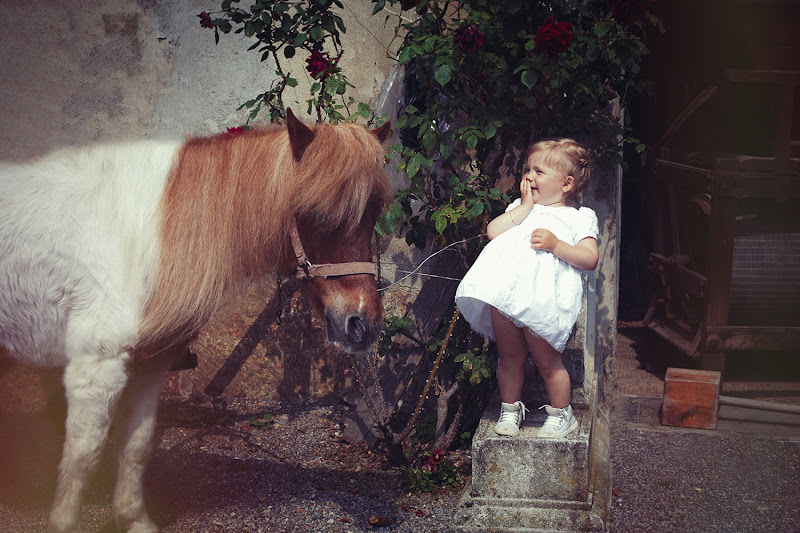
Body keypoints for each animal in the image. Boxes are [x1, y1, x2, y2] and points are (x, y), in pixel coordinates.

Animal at [0, 109, 394, 532]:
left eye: (374, 214)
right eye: (315, 214)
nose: (362, 323)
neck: (144, 236)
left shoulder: (150, 364)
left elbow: (137, 445)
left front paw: (133, 519)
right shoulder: (96, 367)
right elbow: (83, 456)